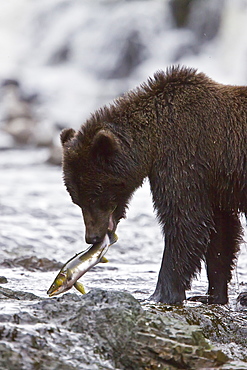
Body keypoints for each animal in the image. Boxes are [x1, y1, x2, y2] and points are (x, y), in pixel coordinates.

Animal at [59, 66, 247, 304]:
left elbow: (185, 220)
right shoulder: (215, 183)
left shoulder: (184, 160)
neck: (153, 143)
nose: (91, 237)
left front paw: (161, 293)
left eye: (94, 195)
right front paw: (213, 294)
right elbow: (221, 233)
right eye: (76, 199)